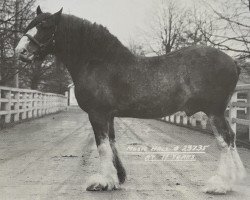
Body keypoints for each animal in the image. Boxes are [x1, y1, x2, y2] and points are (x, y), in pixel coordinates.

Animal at [16, 7, 246, 195]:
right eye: (29, 25)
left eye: (44, 27)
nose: (20, 51)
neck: (98, 61)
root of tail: (232, 61)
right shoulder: (108, 115)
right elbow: (111, 142)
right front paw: (117, 178)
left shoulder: (97, 114)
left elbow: (102, 146)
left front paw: (103, 182)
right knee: (231, 139)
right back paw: (235, 180)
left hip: (215, 112)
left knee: (226, 140)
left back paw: (221, 185)